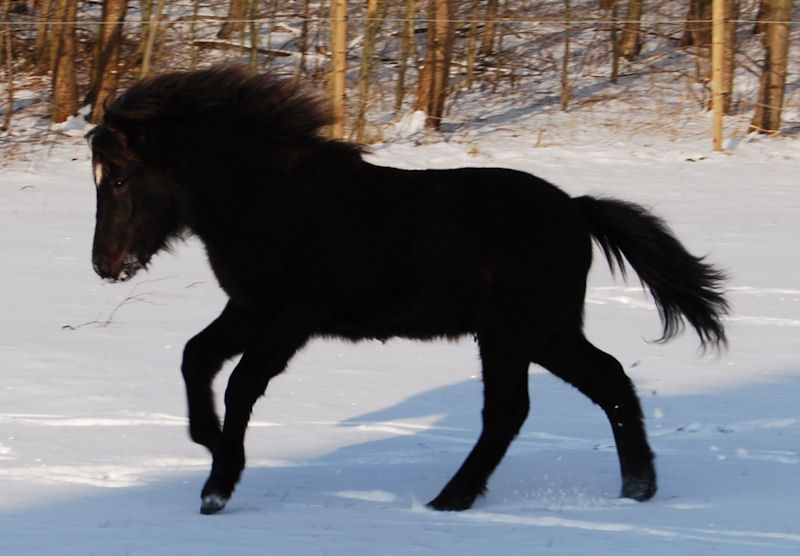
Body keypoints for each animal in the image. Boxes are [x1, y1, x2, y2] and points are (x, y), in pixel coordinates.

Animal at [86, 66, 724, 516]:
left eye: (118, 179)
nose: (103, 265)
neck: (268, 198)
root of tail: (577, 209)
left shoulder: (291, 317)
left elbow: (242, 383)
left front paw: (219, 484)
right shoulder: (248, 308)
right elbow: (195, 357)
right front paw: (209, 439)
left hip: (511, 334)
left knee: (510, 410)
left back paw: (452, 498)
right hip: (549, 334)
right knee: (609, 382)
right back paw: (637, 488)